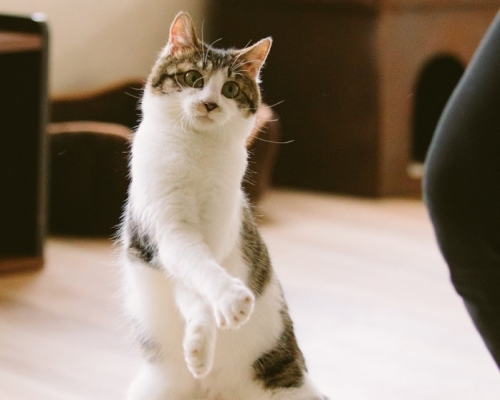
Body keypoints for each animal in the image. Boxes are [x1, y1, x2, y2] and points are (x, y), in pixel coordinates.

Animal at [119, 11, 326, 400]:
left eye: (230, 89)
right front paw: (219, 316)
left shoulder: (219, 229)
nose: (209, 104)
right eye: (192, 78)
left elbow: (201, 274)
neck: (196, 152)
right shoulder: (167, 231)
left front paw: (206, 336)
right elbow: (193, 268)